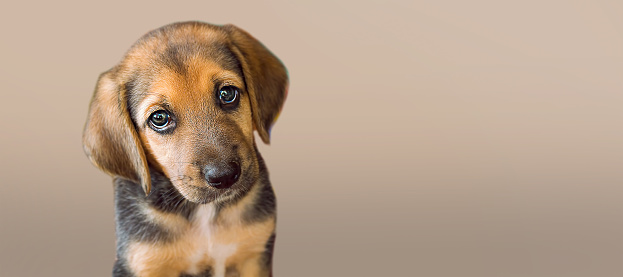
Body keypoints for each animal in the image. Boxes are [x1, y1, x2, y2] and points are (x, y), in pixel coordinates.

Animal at [81, 22, 288, 276]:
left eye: (227, 93)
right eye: (159, 118)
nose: (224, 176)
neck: (204, 214)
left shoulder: (253, 256)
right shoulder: (144, 263)